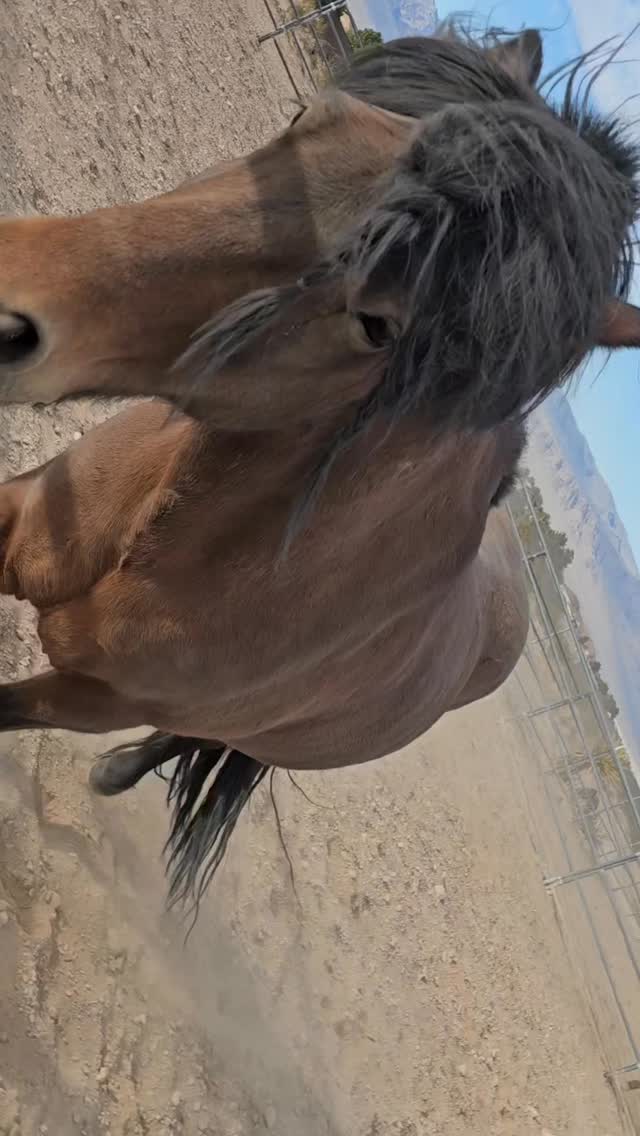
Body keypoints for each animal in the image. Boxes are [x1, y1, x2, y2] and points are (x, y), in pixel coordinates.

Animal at [0, 27, 638, 908]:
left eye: (378, 325)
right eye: (310, 119)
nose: (8, 302)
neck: (165, 547)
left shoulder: (85, 700)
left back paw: (119, 770)